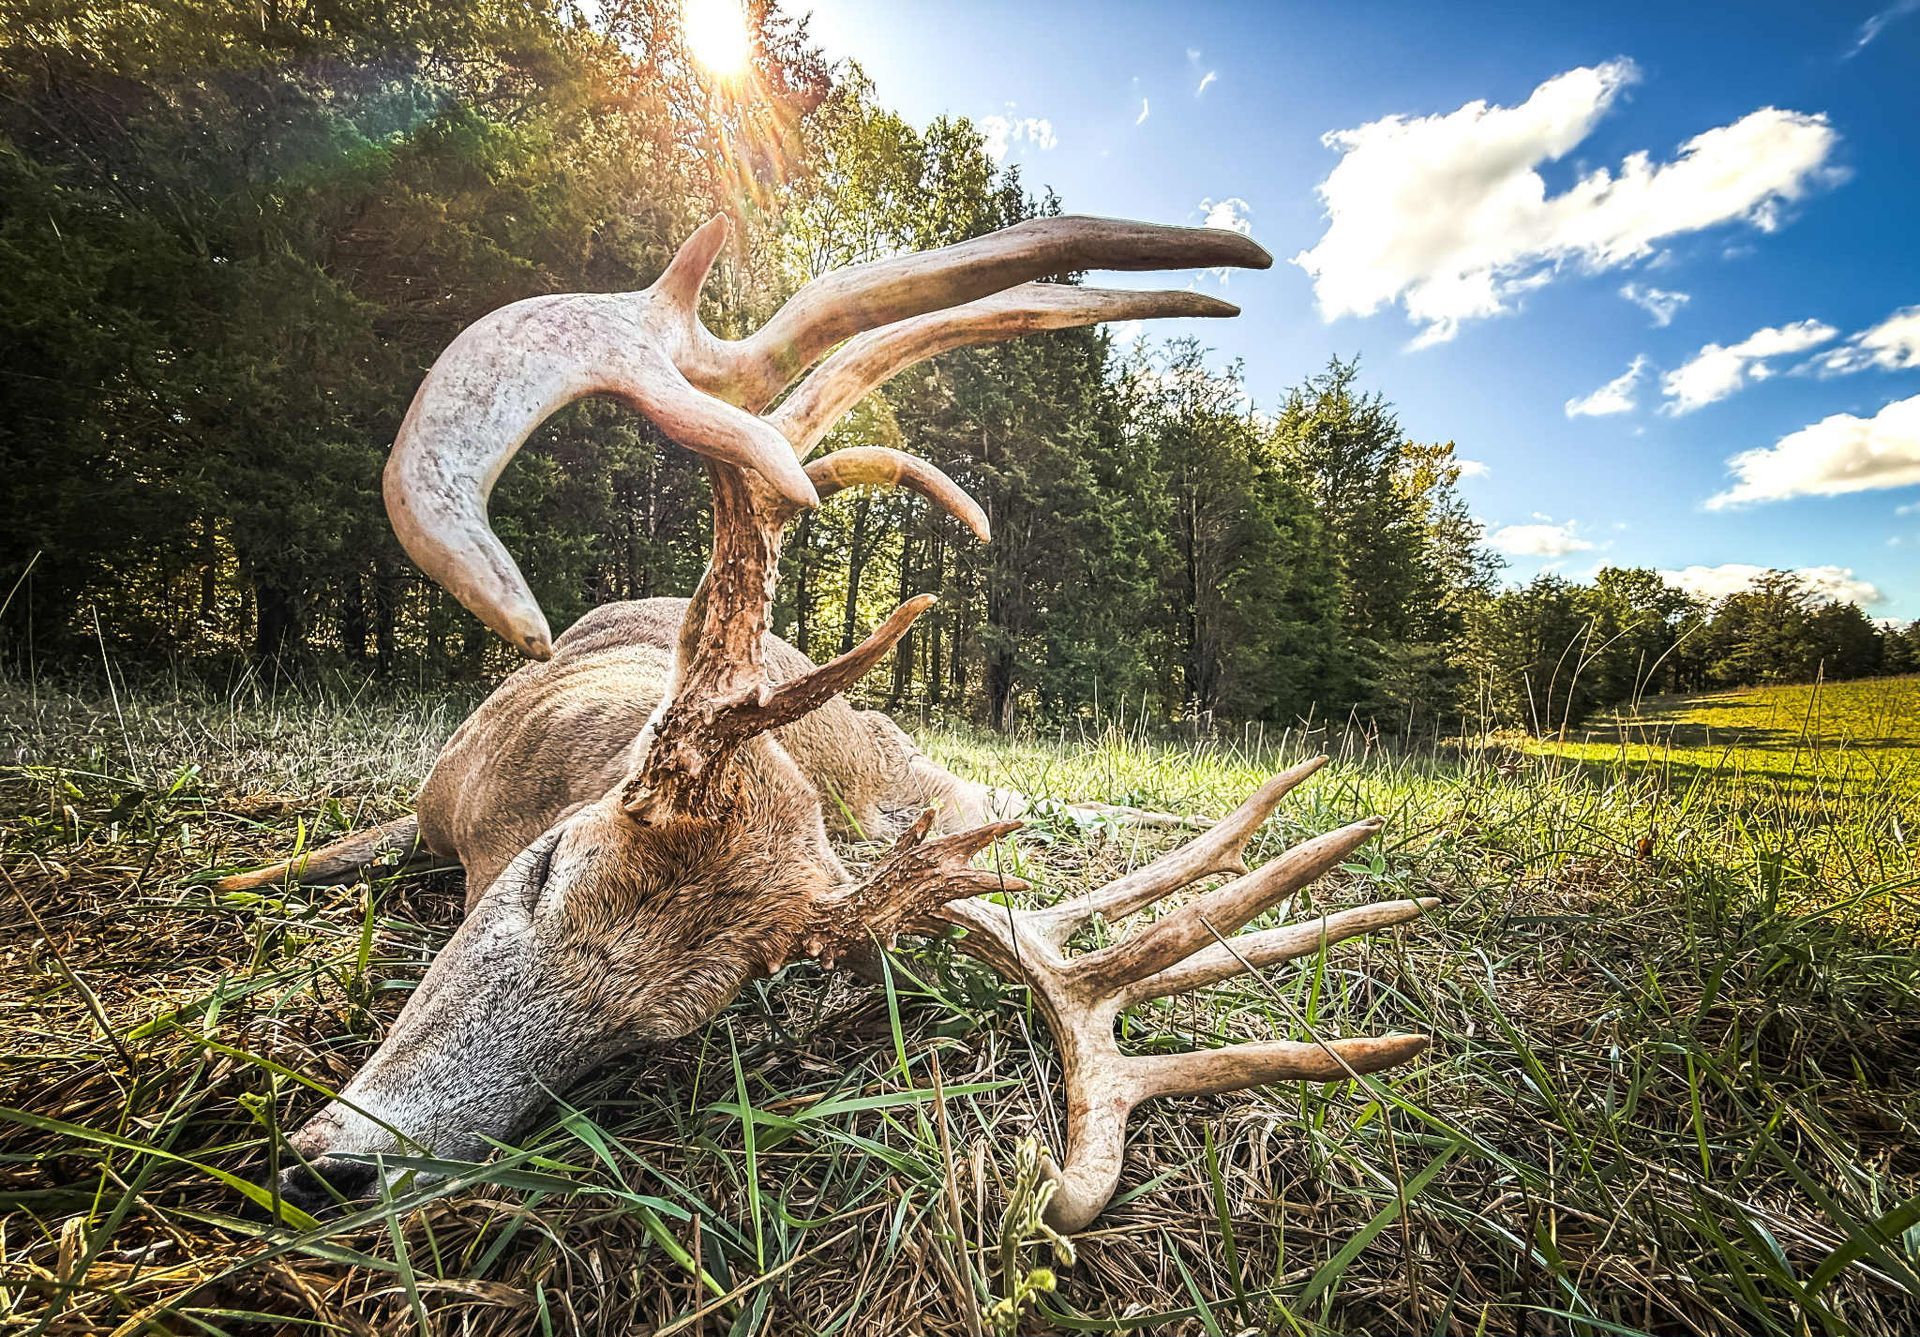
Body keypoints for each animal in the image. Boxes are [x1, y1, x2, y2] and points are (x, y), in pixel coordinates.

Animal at [224, 213, 1439, 1232]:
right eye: (546, 868)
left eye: (647, 1033)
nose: (335, 1168)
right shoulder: (434, 800)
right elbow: (308, 859)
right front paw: (242, 874)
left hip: (923, 766)